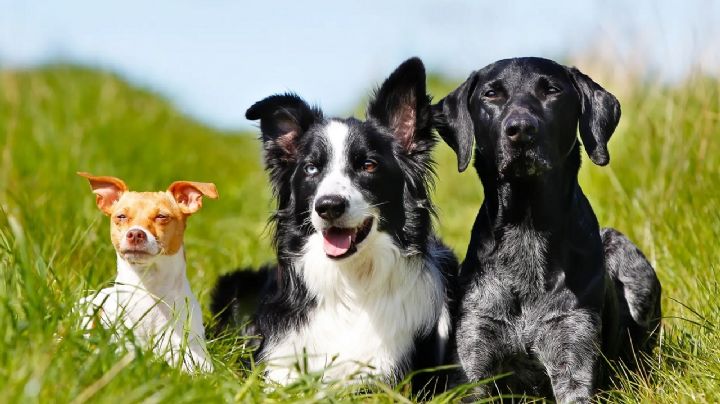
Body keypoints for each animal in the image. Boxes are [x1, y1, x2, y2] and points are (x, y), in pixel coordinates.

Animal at [434, 58, 664, 402]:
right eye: (491, 93)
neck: (526, 228)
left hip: (625, 254)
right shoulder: (473, 357)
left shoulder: (573, 355)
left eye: (552, 90)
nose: (521, 130)